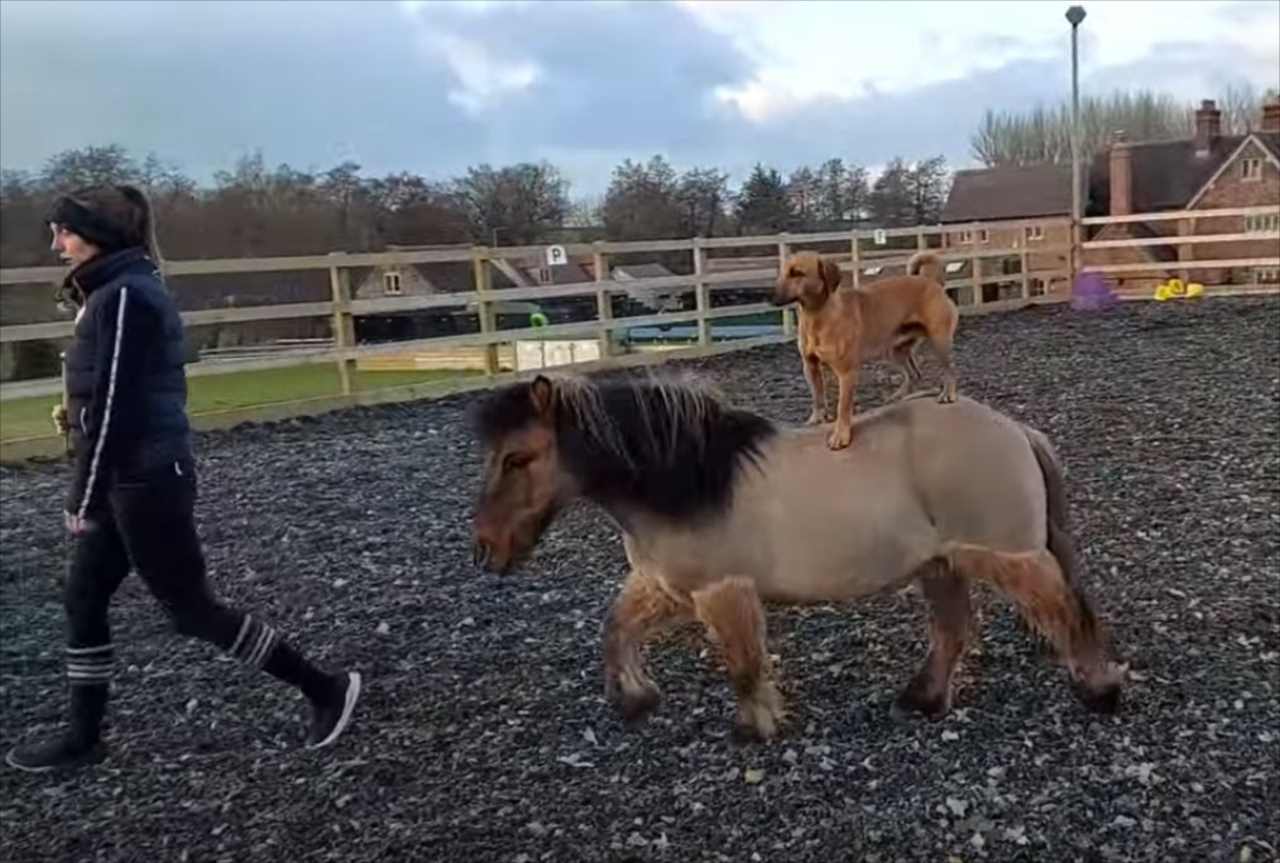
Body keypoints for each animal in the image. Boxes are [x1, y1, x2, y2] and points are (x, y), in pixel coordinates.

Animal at [768, 245, 962, 450]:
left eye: (797, 273)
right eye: (782, 273)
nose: (769, 296)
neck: (816, 316)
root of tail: (932, 282)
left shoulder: (847, 373)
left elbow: (843, 407)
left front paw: (841, 436)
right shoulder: (810, 366)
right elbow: (817, 397)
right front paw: (816, 420)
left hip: (939, 342)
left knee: (950, 371)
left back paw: (947, 394)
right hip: (895, 351)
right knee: (914, 374)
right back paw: (898, 398)